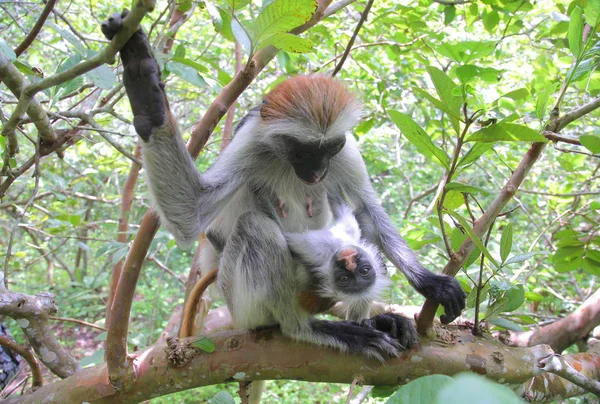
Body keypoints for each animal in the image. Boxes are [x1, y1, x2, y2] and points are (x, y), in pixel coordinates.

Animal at [102, 10, 464, 356]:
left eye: (329, 149)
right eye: (302, 152)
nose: (318, 173)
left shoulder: (345, 149)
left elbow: (367, 208)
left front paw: (430, 282)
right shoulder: (252, 138)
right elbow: (191, 213)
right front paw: (145, 93)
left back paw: (373, 320)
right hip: (240, 300)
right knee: (256, 227)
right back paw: (306, 328)